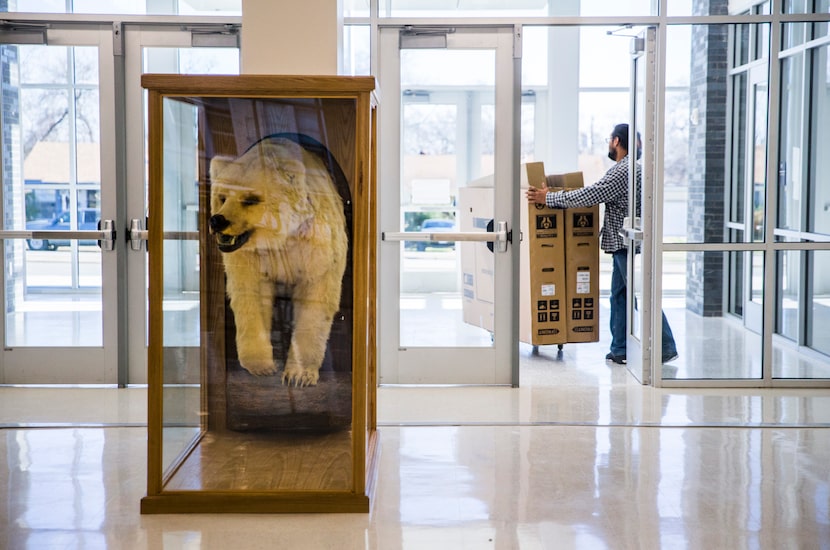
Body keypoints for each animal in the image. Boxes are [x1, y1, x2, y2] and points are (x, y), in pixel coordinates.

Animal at [211, 138, 352, 388]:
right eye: (222, 197)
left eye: (250, 199)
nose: (218, 220)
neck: (281, 238)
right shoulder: (251, 257)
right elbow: (252, 295)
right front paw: (261, 365)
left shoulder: (316, 244)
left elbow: (316, 294)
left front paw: (299, 375)